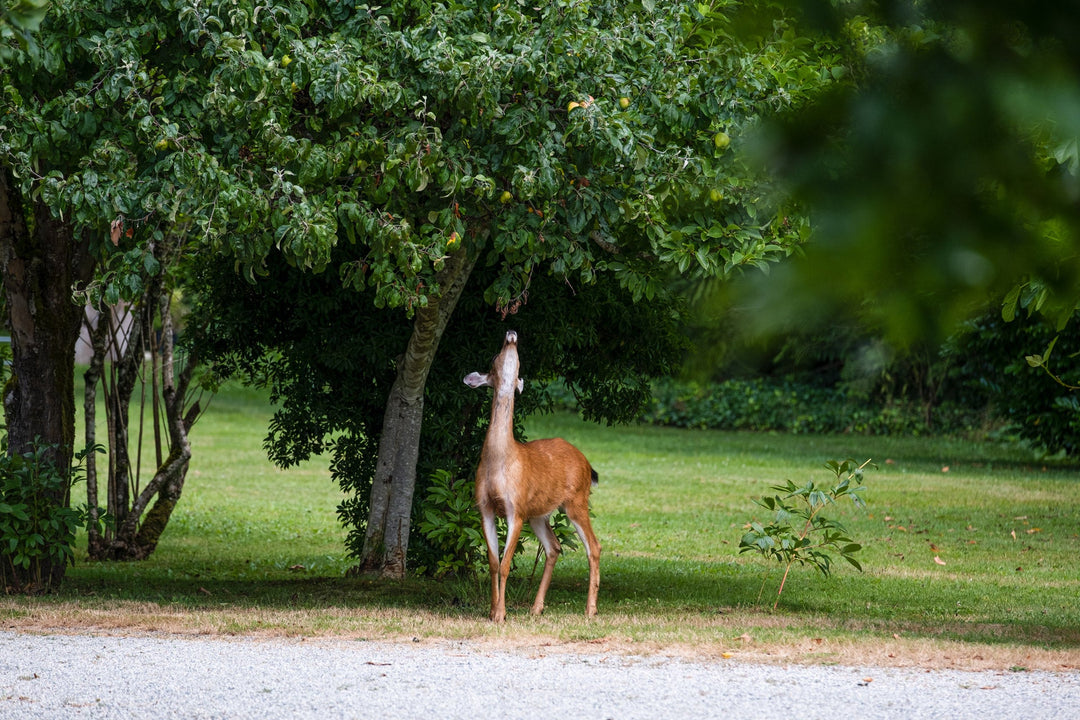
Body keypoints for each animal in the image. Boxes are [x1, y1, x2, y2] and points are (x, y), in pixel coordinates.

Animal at [462, 330, 604, 621]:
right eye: (495, 356)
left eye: (518, 362)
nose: (511, 334)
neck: (500, 461)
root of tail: (587, 463)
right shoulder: (485, 507)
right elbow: (493, 562)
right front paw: (492, 610)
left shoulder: (515, 509)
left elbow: (505, 564)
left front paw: (501, 614)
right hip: (539, 514)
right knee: (554, 546)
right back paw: (537, 607)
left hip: (576, 500)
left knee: (594, 547)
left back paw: (590, 609)